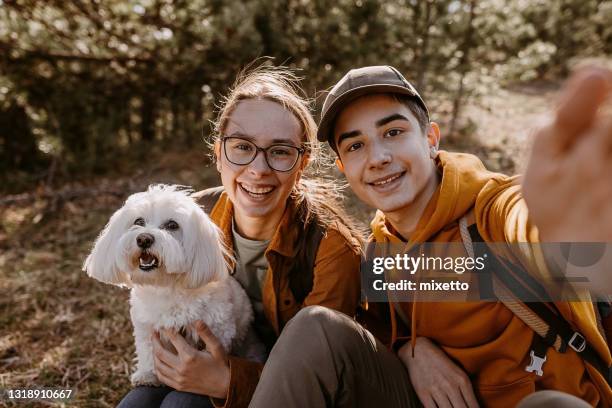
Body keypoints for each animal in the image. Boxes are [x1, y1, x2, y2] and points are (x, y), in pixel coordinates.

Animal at [83, 185, 251, 386]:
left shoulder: (219, 329)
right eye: (138, 221)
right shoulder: (146, 327)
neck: (166, 286)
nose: (144, 239)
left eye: (172, 225)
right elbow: (147, 351)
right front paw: (147, 375)